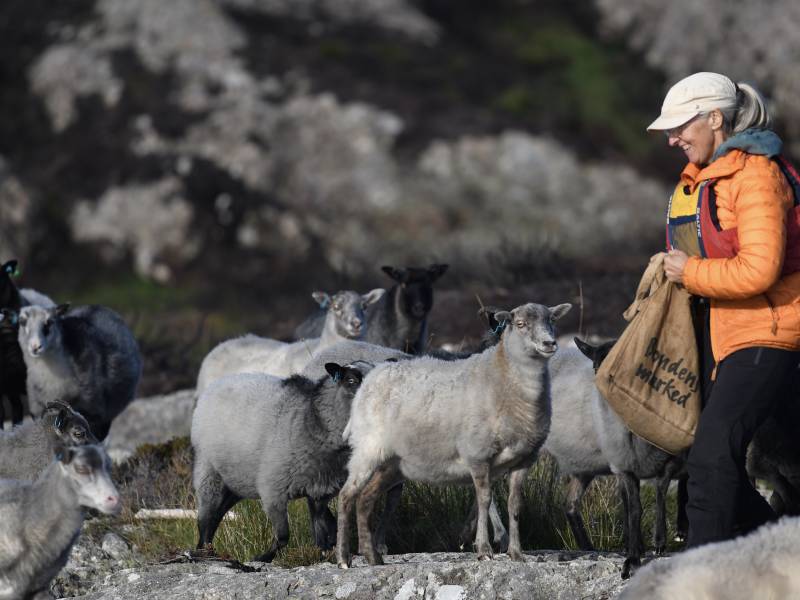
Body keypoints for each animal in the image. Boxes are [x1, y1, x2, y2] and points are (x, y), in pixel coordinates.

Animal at [16, 304, 142, 440]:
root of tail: (97, 306)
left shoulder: (93, 412)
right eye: (22, 321)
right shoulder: (39, 411)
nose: (35, 347)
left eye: (49, 322)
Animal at [195, 358, 380, 560]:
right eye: (351, 381)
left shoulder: (319, 489)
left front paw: (324, 550)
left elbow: (320, 527)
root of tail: (217, 384)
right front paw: (263, 557)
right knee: (206, 516)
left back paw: (206, 548)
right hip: (209, 472)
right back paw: (203, 550)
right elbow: (284, 535)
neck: (313, 421)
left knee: (217, 513)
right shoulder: (273, 490)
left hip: (236, 481)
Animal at [334, 302, 572, 568]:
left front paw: (516, 553)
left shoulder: (524, 460)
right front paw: (484, 550)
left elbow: (515, 504)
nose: (549, 343)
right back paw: (343, 558)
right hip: (368, 449)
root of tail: (372, 377)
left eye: (552, 320)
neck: (504, 377)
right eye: (520, 324)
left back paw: (372, 557)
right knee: (346, 497)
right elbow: (484, 500)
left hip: (392, 464)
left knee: (365, 499)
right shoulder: (477, 455)